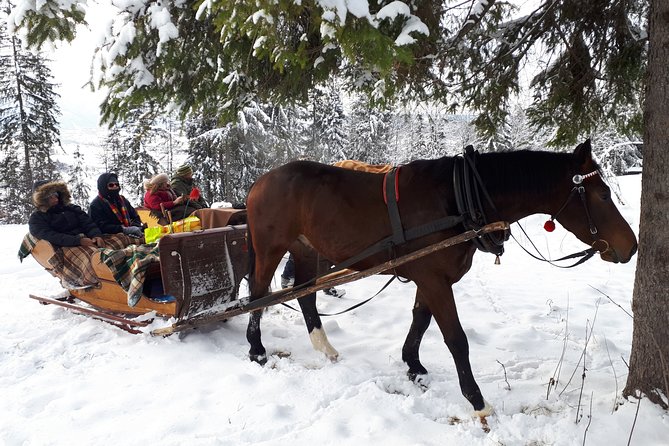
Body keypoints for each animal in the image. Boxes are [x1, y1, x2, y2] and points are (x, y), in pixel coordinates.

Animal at [243, 139, 636, 414]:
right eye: (603, 194)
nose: (630, 246)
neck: (460, 199)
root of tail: (260, 181)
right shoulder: (433, 277)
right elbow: (455, 339)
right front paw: (477, 401)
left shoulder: (431, 276)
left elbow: (420, 319)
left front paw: (414, 366)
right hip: (271, 247)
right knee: (259, 294)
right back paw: (257, 350)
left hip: (306, 249)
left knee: (304, 294)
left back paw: (323, 346)